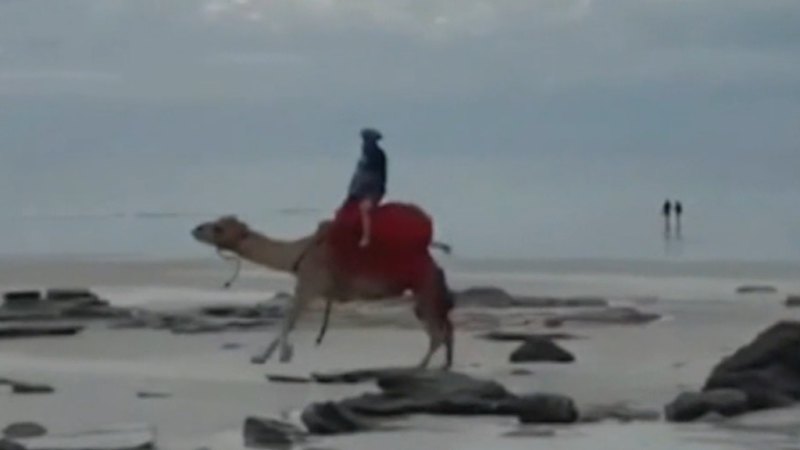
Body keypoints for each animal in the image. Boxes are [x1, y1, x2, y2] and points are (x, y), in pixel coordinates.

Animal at [191, 214, 456, 369]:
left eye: (218, 228)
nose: (196, 229)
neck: (296, 253)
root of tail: (433, 260)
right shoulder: (307, 288)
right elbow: (289, 321)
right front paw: (274, 356)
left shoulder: (308, 286)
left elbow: (287, 320)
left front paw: (270, 356)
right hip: (429, 290)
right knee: (444, 326)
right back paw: (443, 365)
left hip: (425, 287)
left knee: (437, 332)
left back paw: (419, 366)